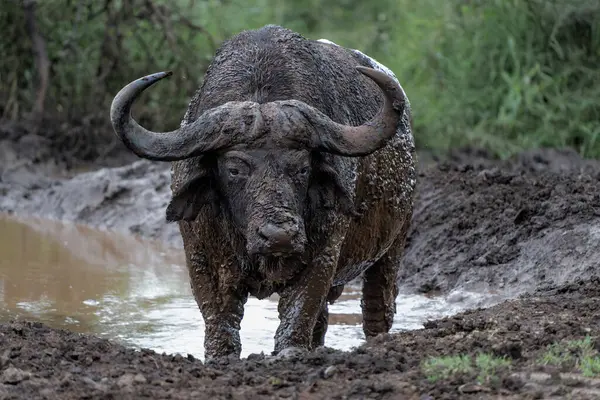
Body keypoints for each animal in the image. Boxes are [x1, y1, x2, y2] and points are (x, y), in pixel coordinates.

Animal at [110, 25, 414, 362]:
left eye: (302, 168)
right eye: (234, 169)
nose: (279, 236)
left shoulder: (324, 254)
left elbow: (299, 309)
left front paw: (290, 351)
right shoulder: (200, 256)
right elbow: (219, 317)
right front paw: (221, 356)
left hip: (394, 243)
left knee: (377, 305)